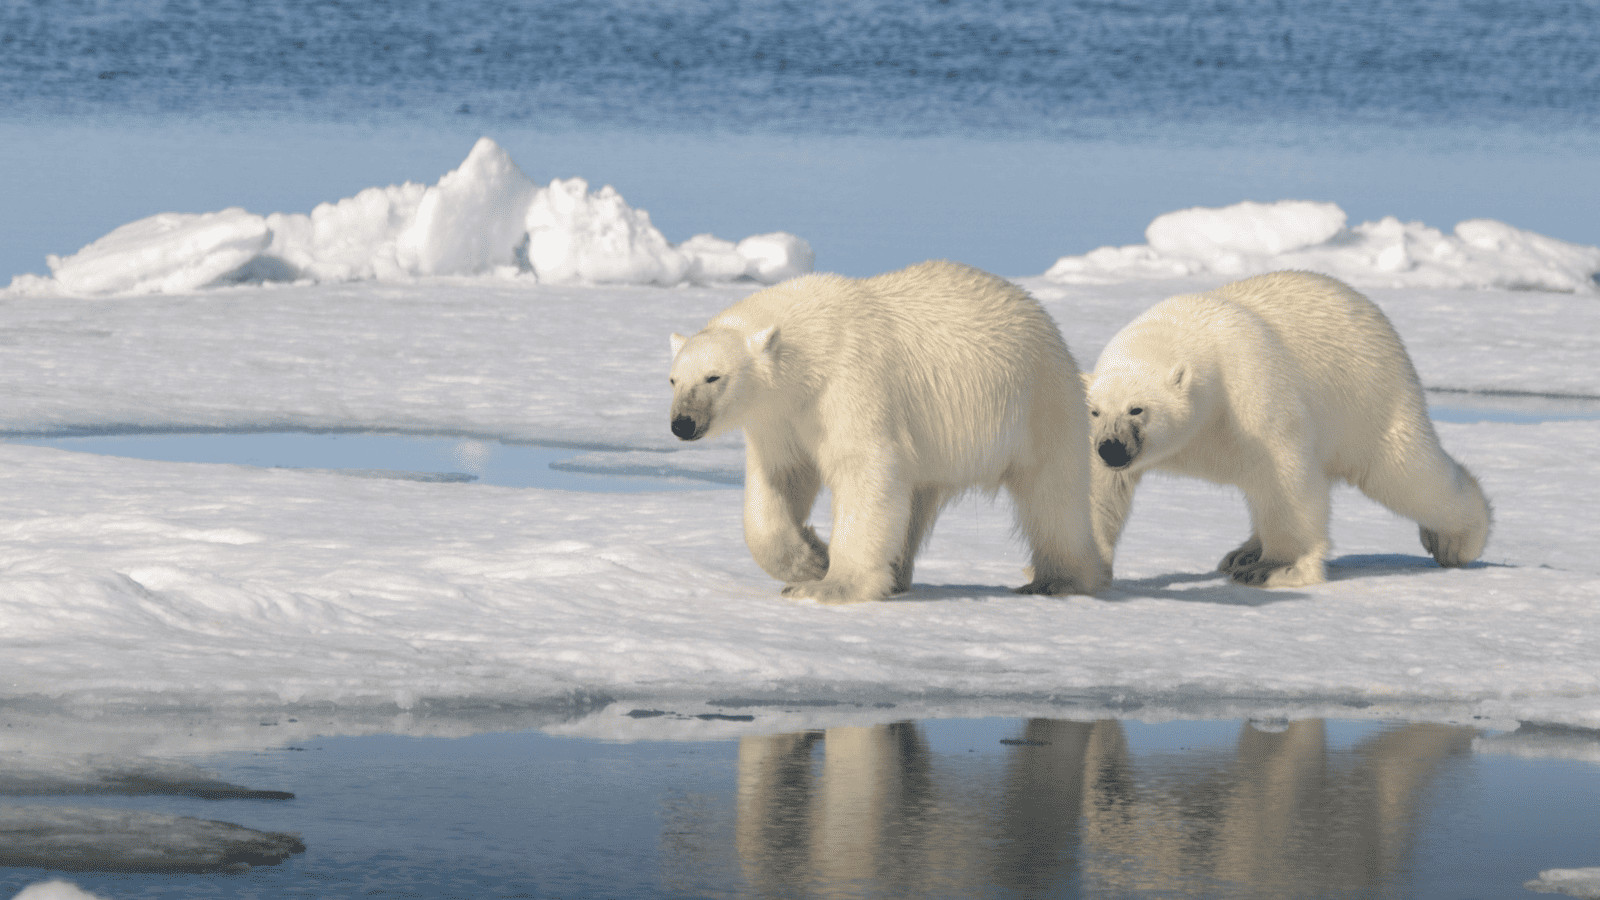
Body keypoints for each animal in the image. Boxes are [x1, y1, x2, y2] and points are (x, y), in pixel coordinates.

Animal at [668, 260, 1108, 604]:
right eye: (673, 379)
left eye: (713, 377)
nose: (682, 423)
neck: (812, 342)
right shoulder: (780, 417)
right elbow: (781, 478)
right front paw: (812, 559)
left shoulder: (850, 383)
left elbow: (865, 468)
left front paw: (831, 585)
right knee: (917, 499)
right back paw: (898, 574)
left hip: (1041, 403)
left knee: (1053, 494)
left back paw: (1058, 580)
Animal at [1085, 270, 1491, 588]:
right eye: (1095, 411)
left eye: (1137, 409)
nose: (1111, 448)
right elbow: (1097, 489)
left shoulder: (1249, 389)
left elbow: (1284, 474)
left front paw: (1277, 568)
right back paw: (1243, 552)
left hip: (1371, 401)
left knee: (1407, 475)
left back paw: (1456, 541)